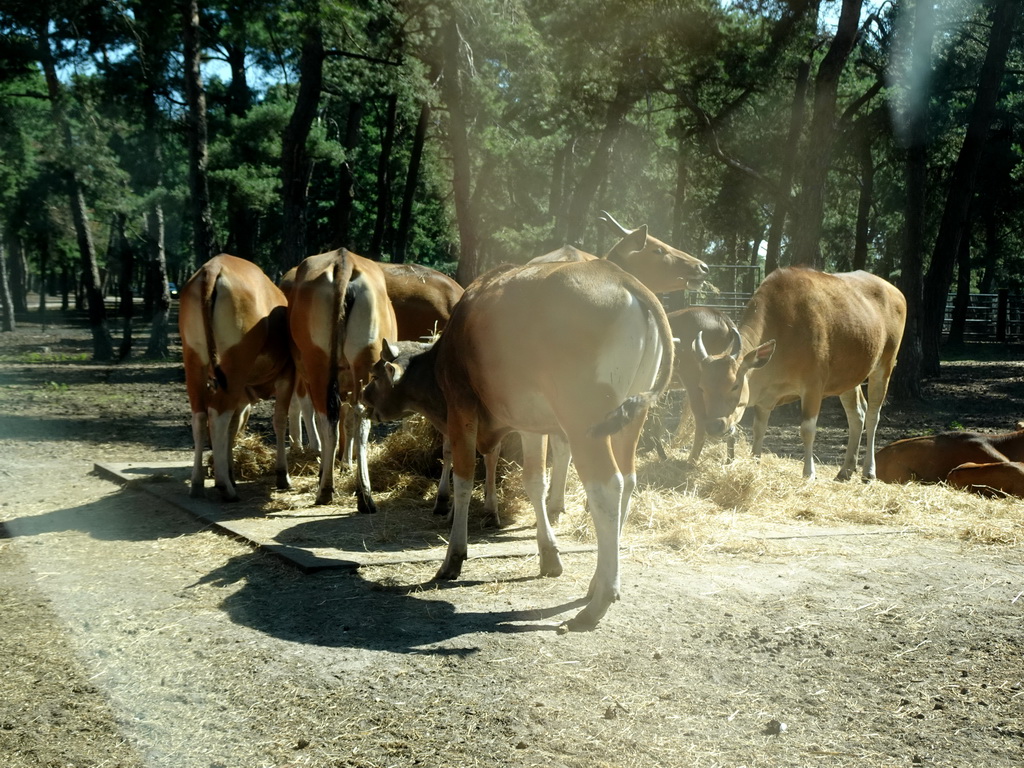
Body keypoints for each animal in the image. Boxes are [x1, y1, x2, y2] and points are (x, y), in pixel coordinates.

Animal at [177, 256, 292, 501]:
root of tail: (213, 267)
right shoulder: (287, 376)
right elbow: (279, 420)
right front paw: (282, 476)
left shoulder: (240, 394)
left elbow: (233, 426)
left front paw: (230, 472)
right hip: (234, 363)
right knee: (217, 414)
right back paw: (225, 487)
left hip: (194, 359)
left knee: (200, 416)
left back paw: (198, 483)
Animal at [364, 259, 675, 630]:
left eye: (376, 374)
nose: (363, 397)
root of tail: (622, 276)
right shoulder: (531, 424)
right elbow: (535, 483)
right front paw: (549, 555)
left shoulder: (461, 408)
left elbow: (464, 480)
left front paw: (453, 557)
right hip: (630, 419)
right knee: (628, 481)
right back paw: (596, 582)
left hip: (585, 419)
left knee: (607, 487)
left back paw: (598, 600)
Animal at [692, 268, 909, 479]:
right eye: (702, 388)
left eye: (734, 385)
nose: (714, 426)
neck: (784, 327)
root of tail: (895, 292)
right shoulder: (766, 398)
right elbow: (759, 429)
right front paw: (754, 463)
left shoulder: (813, 387)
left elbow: (807, 430)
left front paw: (809, 473)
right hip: (848, 377)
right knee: (857, 413)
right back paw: (846, 470)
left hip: (884, 365)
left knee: (873, 415)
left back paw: (869, 471)